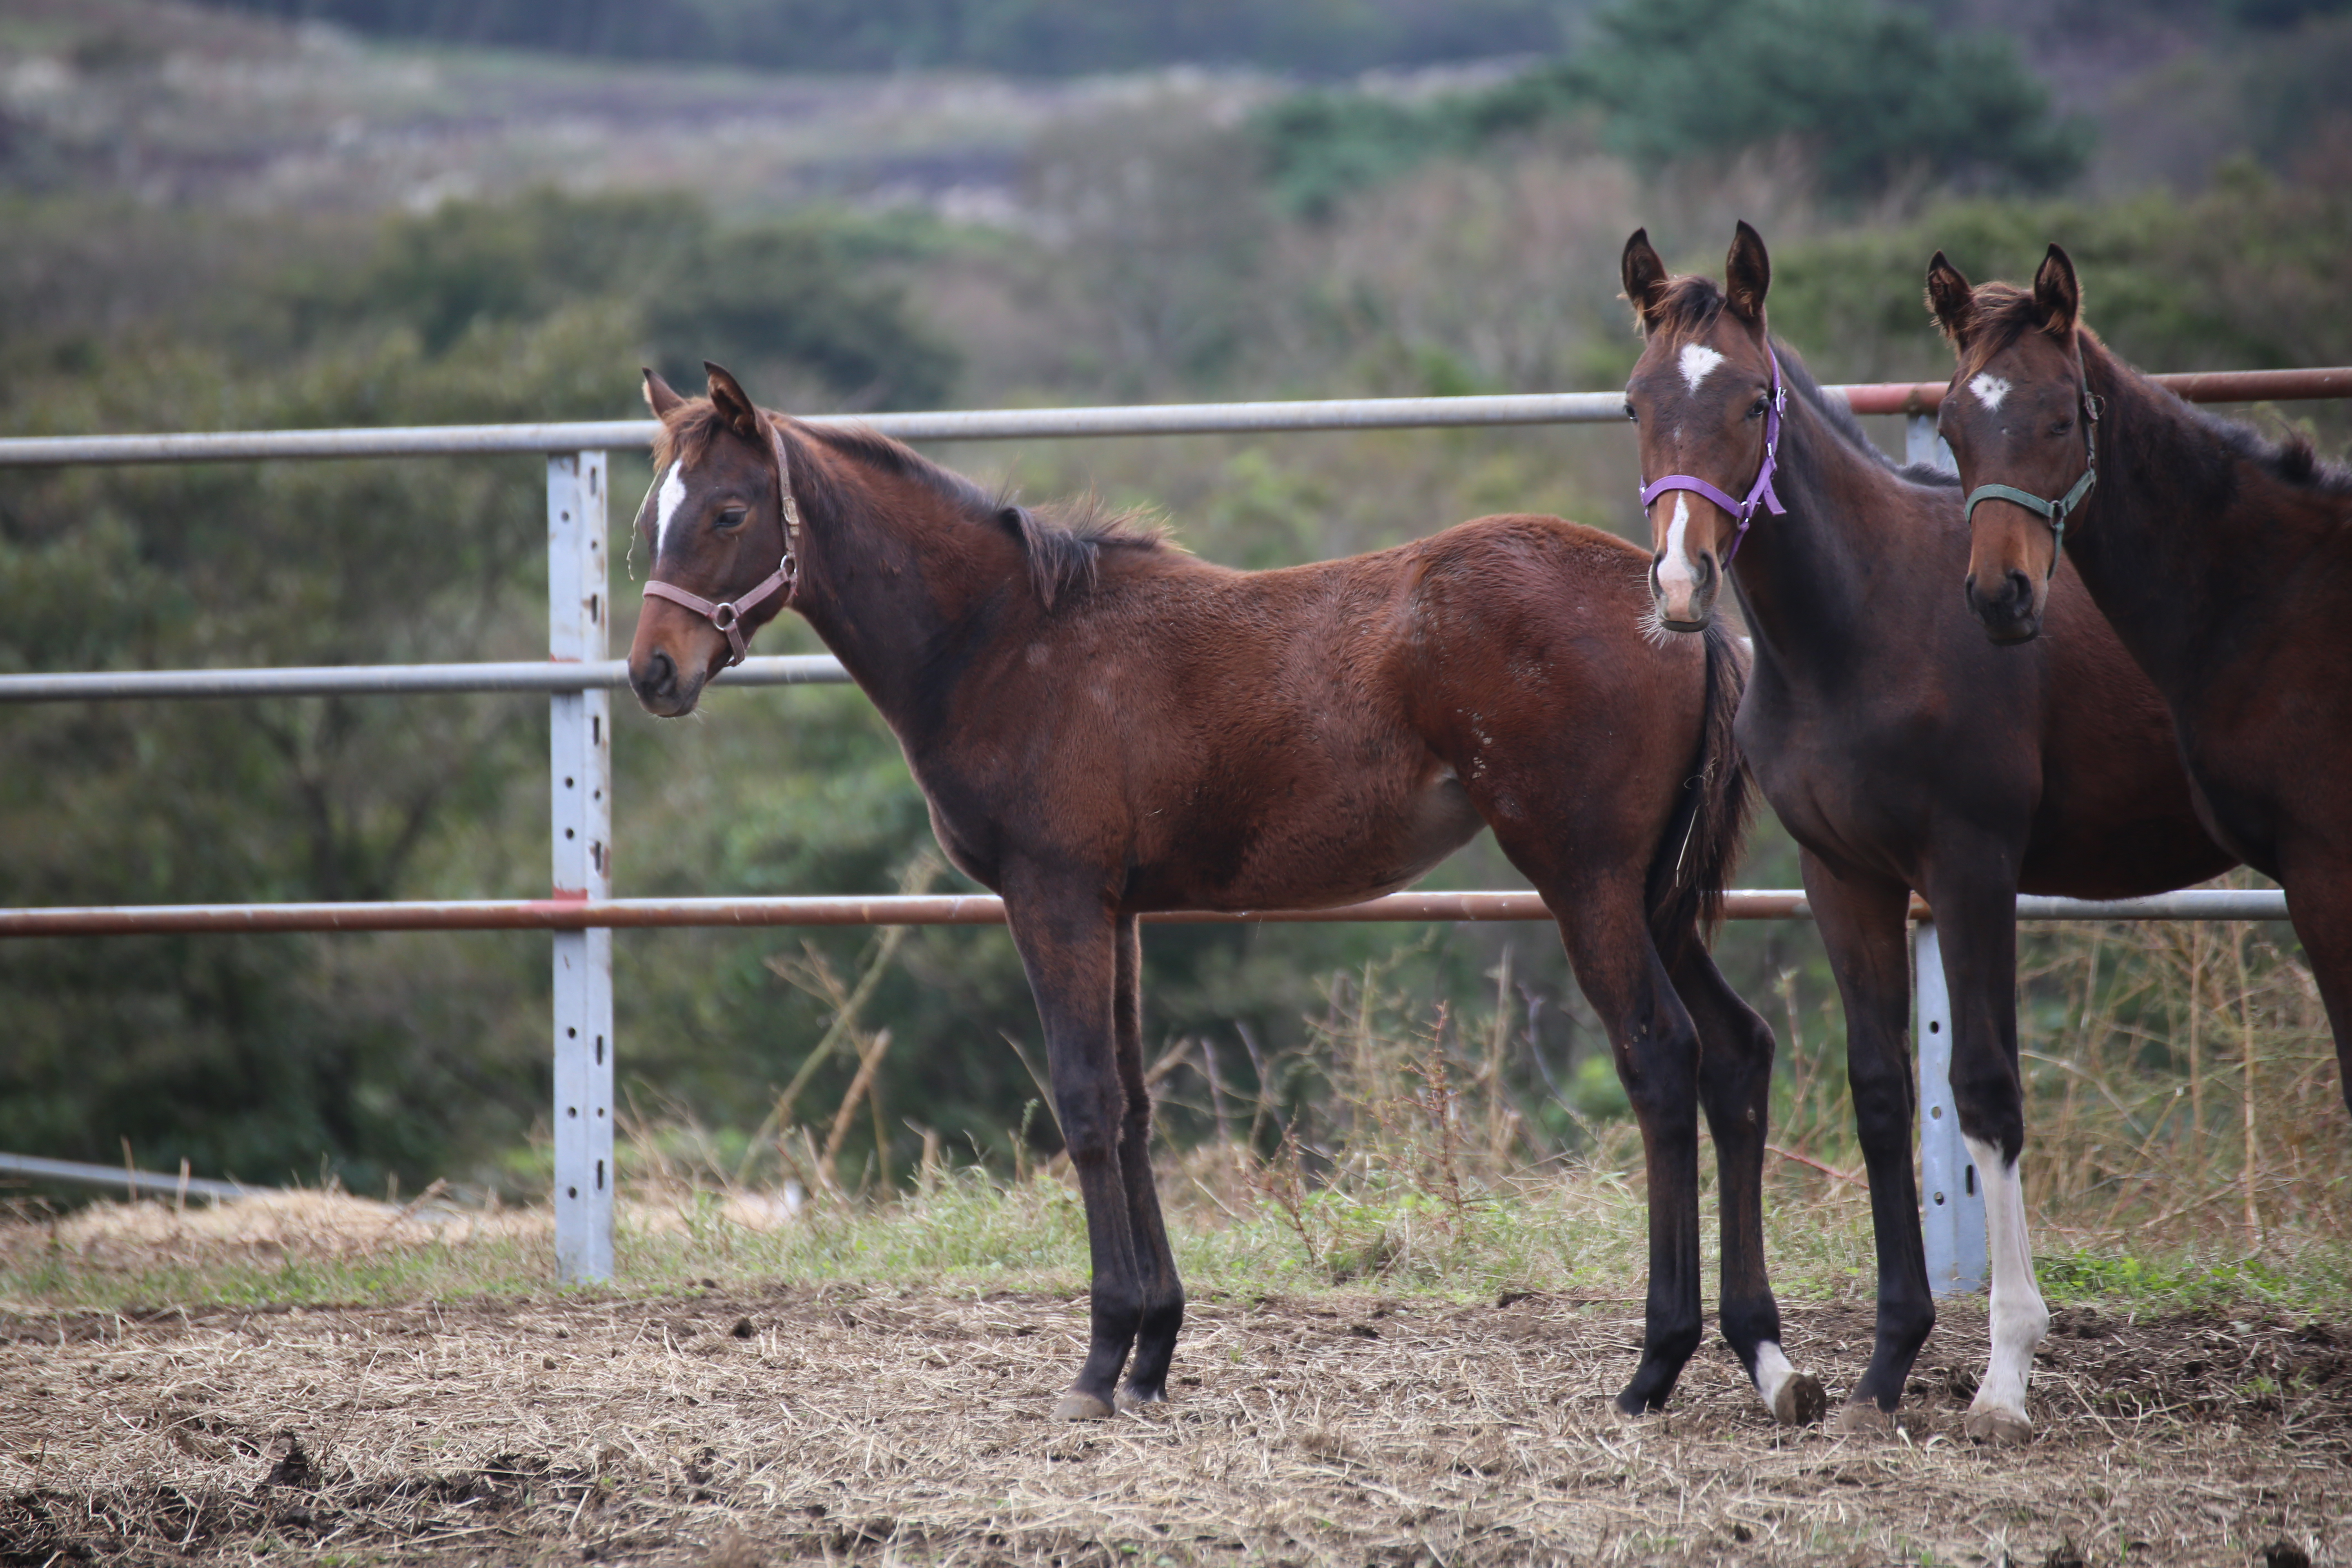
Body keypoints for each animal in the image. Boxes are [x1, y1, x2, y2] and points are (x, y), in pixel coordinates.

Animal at [630, 362, 1797, 1429]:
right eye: (652, 516)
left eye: (729, 510)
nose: (652, 674)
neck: (1003, 640)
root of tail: (1678, 603)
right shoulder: (1118, 910)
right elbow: (1135, 1103)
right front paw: (1152, 1349)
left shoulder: (1051, 897)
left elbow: (1085, 1101)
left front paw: (1099, 1358)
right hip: (1654, 894)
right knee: (1737, 1051)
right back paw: (1765, 1352)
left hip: (1584, 880)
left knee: (1661, 1058)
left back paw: (1654, 1363)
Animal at [1627, 223, 2230, 1448]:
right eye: (1634, 404)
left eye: (1753, 400)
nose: (1678, 580)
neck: (1866, 625)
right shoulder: (1843, 877)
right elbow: (1879, 1090)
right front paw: (1883, 1365)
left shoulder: (1969, 867)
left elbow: (1985, 1088)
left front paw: (2004, 1374)